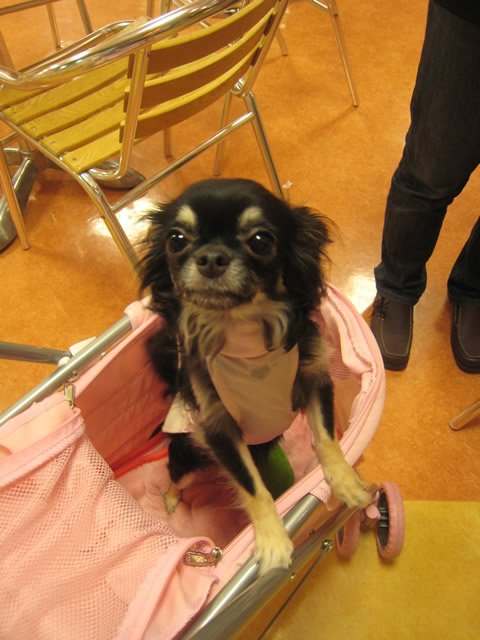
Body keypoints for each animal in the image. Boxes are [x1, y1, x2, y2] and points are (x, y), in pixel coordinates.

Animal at [141, 178, 370, 575]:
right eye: (176, 240)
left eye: (262, 241)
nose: (211, 257)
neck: (244, 335)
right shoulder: (218, 429)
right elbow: (252, 486)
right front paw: (273, 540)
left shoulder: (314, 380)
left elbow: (327, 440)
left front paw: (346, 483)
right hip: (189, 453)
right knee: (175, 474)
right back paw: (171, 498)